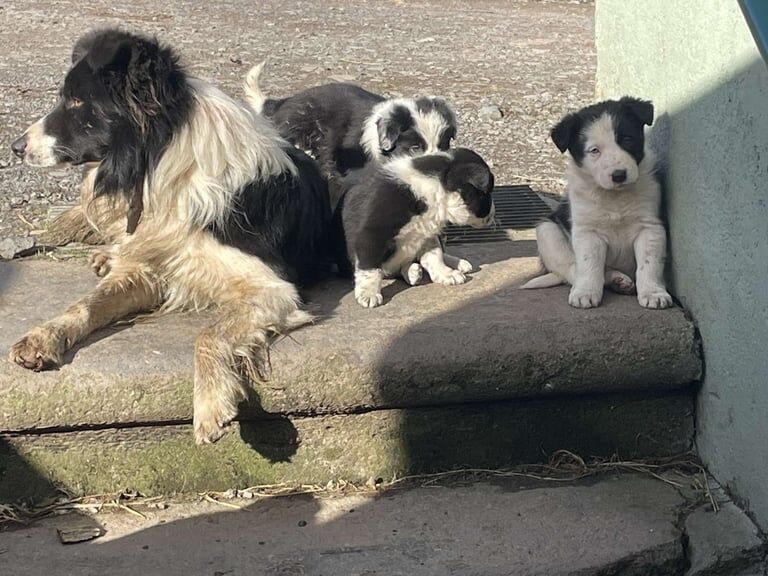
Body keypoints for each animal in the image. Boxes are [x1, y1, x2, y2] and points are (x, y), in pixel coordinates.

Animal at [9, 29, 332, 446]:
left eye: (78, 101)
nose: (15, 147)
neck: (161, 164)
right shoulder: (153, 268)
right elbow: (85, 305)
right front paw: (43, 336)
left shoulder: (272, 288)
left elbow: (209, 333)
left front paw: (210, 405)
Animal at [338, 150, 496, 310]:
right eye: (488, 193)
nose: (493, 214)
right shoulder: (371, 235)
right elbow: (369, 269)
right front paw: (368, 293)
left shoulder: (427, 234)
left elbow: (434, 256)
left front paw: (446, 273)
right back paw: (412, 272)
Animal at [520, 98, 672, 310]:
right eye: (594, 151)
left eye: (627, 139)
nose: (619, 175)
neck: (614, 196)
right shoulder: (587, 232)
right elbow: (589, 265)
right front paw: (586, 292)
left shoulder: (650, 228)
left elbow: (649, 264)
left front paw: (653, 292)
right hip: (547, 232)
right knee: (573, 270)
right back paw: (612, 280)